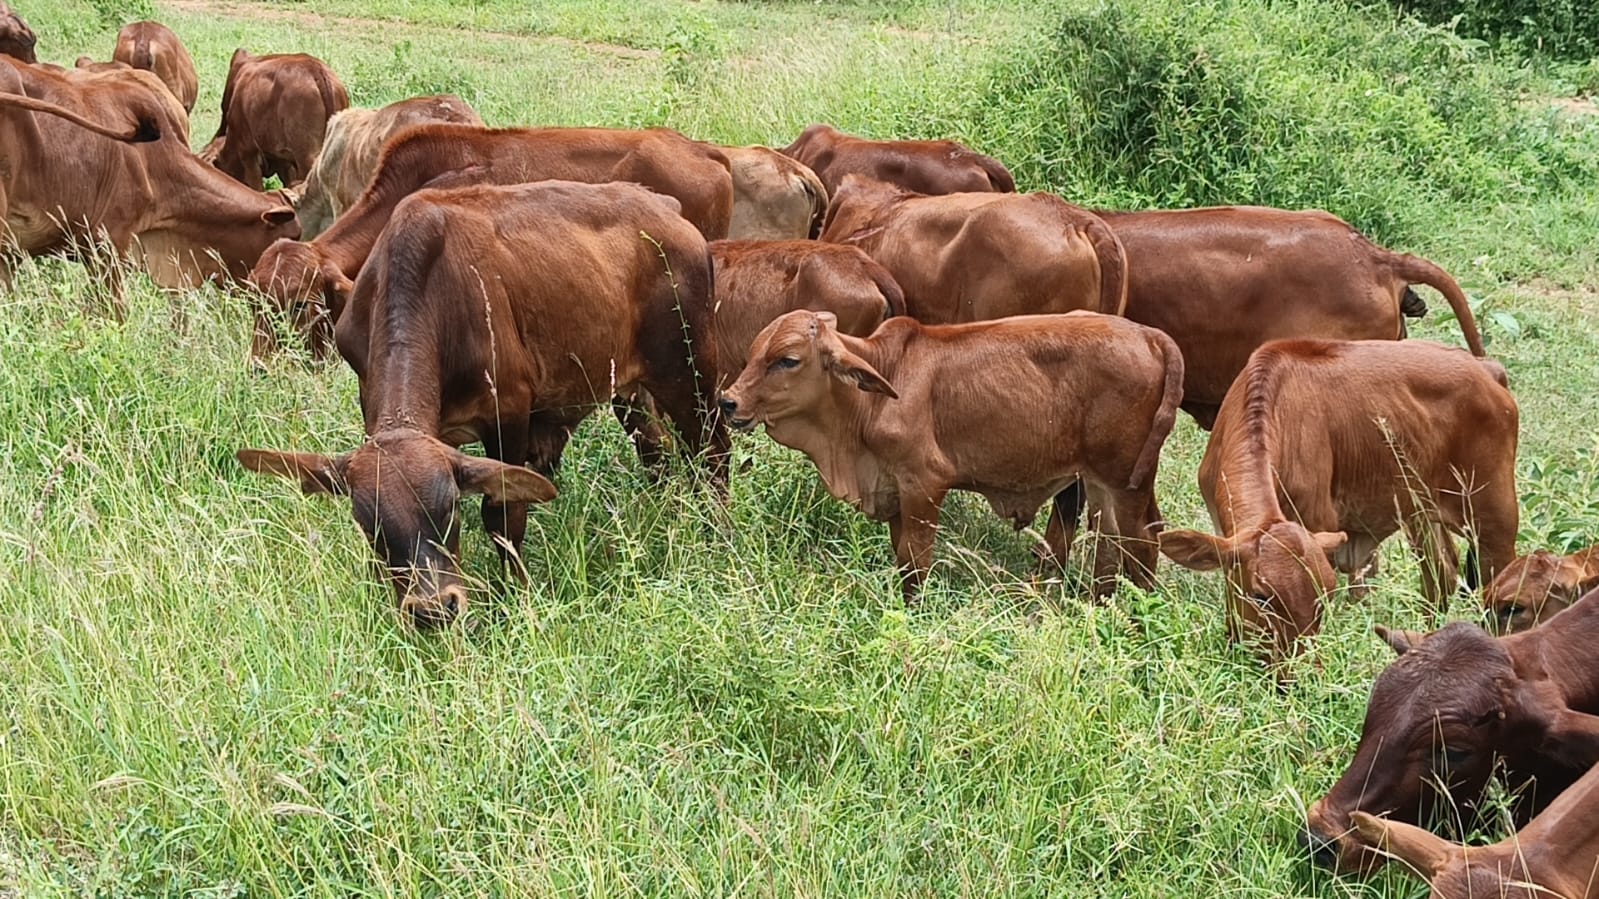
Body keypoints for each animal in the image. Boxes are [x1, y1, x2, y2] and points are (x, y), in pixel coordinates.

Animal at [237, 181, 727, 626]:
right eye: (368, 521)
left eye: (450, 507)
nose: (433, 609)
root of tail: (666, 208)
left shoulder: (508, 415)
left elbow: (503, 515)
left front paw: (518, 596)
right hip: (629, 390)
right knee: (657, 451)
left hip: (689, 376)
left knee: (713, 454)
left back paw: (717, 533)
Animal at [717, 309, 1183, 600]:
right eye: (754, 353)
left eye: (787, 360)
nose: (728, 402)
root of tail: (1149, 335)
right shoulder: (896, 494)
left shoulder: (923, 486)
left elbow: (914, 565)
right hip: (1104, 483)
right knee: (1111, 548)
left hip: (1125, 481)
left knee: (1142, 544)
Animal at [1158, 340, 1519, 668]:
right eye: (1261, 597)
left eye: (1324, 595)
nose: (1302, 673)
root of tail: (1485, 369)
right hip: (1420, 513)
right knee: (1441, 573)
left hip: (1494, 520)